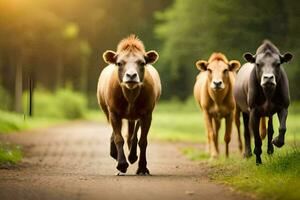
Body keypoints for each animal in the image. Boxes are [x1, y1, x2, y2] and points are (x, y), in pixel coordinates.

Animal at [97, 34, 161, 175]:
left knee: (132, 134)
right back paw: (116, 154)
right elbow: (118, 138)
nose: (131, 75)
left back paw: (132, 156)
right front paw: (121, 164)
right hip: (107, 111)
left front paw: (142, 167)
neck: (130, 96)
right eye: (119, 63)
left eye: (142, 63)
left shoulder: (147, 113)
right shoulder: (113, 112)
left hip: (136, 115)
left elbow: (143, 141)